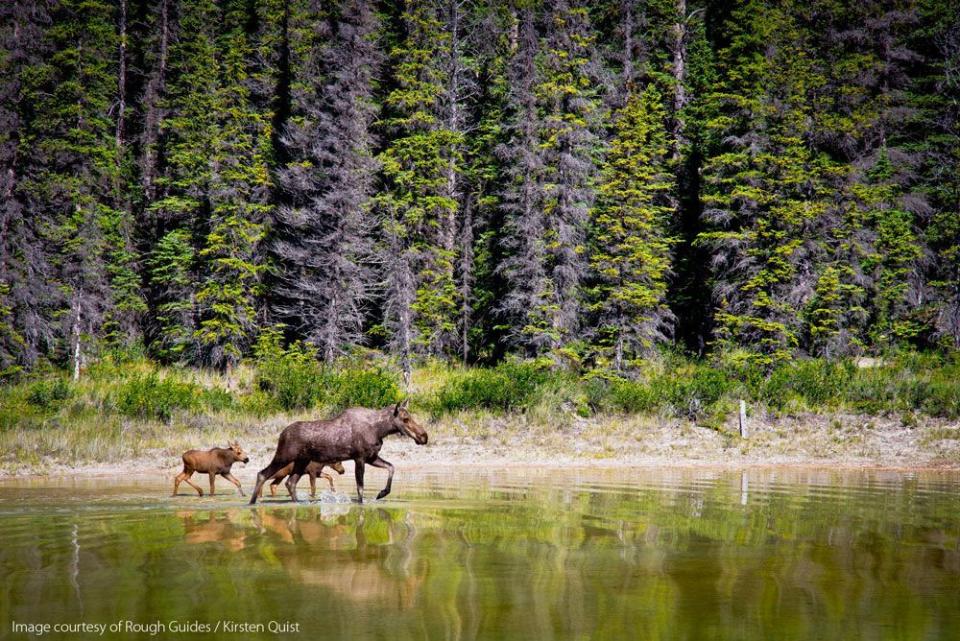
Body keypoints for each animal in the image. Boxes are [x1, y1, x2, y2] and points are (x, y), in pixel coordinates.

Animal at [248, 400, 428, 504]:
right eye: (405, 419)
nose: (424, 436)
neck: (380, 430)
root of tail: (281, 434)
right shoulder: (360, 458)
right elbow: (360, 488)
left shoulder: (371, 457)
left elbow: (392, 467)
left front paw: (382, 493)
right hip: (284, 456)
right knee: (262, 474)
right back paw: (251, 502)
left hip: (301, 461)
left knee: (290, 483)